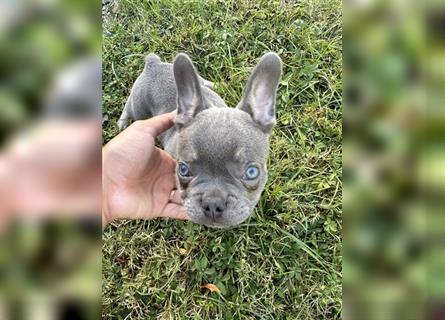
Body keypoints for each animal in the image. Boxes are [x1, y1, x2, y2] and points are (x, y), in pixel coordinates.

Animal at [118, 52, 280, 228]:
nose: (213, 203)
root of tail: (152, 64)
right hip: (138, 107)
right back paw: (122, 122)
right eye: (183, 170)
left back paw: (212, 84)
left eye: (252, 172)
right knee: (128, 108)